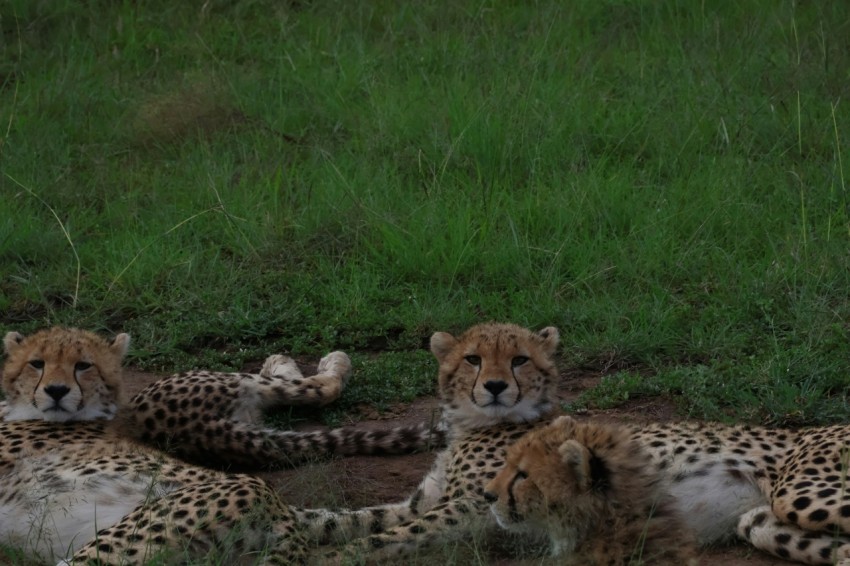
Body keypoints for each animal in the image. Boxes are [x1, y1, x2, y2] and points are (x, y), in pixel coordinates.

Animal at [0, 327, 441, 564]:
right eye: (37, 364)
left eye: (83, 365)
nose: (57, 391)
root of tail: (285, 509)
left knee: (313, 387)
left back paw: (304, 360)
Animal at [295, 321, 562, 563]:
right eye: (473, 359)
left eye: (520, 360)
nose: (495, 385)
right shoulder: (425, 501)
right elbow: (351, 518)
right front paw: (290, 519)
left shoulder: (476, 504)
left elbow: (391, 536)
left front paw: (328, 557)